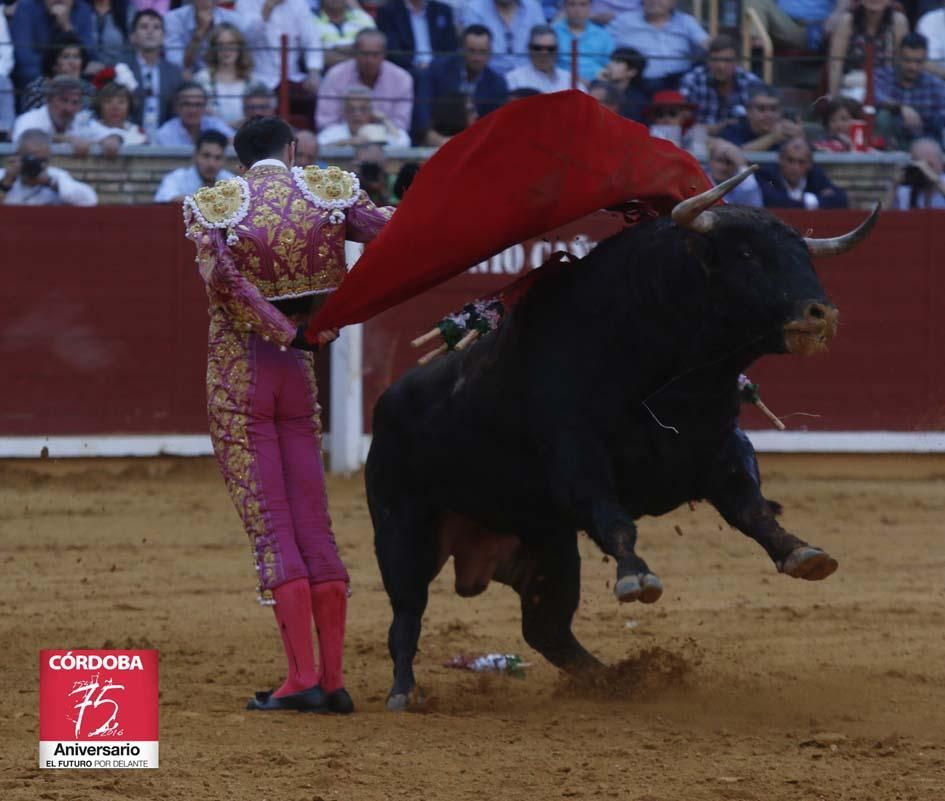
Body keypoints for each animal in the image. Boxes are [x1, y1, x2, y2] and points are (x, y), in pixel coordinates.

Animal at [366, 173, 876, 708]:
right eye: (747, 254)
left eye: (804, 256)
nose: (820, 313)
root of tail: (389, 400)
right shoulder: (577, 457)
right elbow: (614, 519)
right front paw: (636, 576)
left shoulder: (720, 452)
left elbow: (753, 510)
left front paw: (803, 553)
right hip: (402, 530)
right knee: (406, 614)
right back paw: (404, 692)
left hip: (548, 544)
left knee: (546, 628)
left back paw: (610, 680)